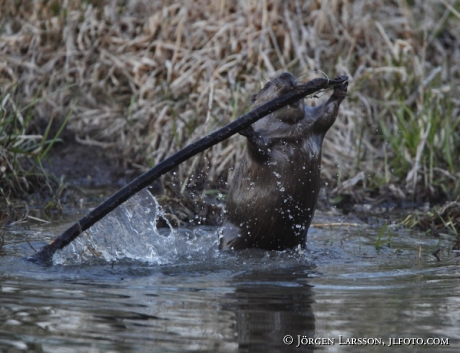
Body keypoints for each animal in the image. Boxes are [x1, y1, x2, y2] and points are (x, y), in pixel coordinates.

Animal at [220, 71, 348, 250]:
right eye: (267, 85)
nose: (285, 74)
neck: (288, 131)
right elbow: (257, 150)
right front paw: (247, 130)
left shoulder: (312, 124)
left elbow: (327, 115)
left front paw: (341, 84)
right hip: (233, 234)